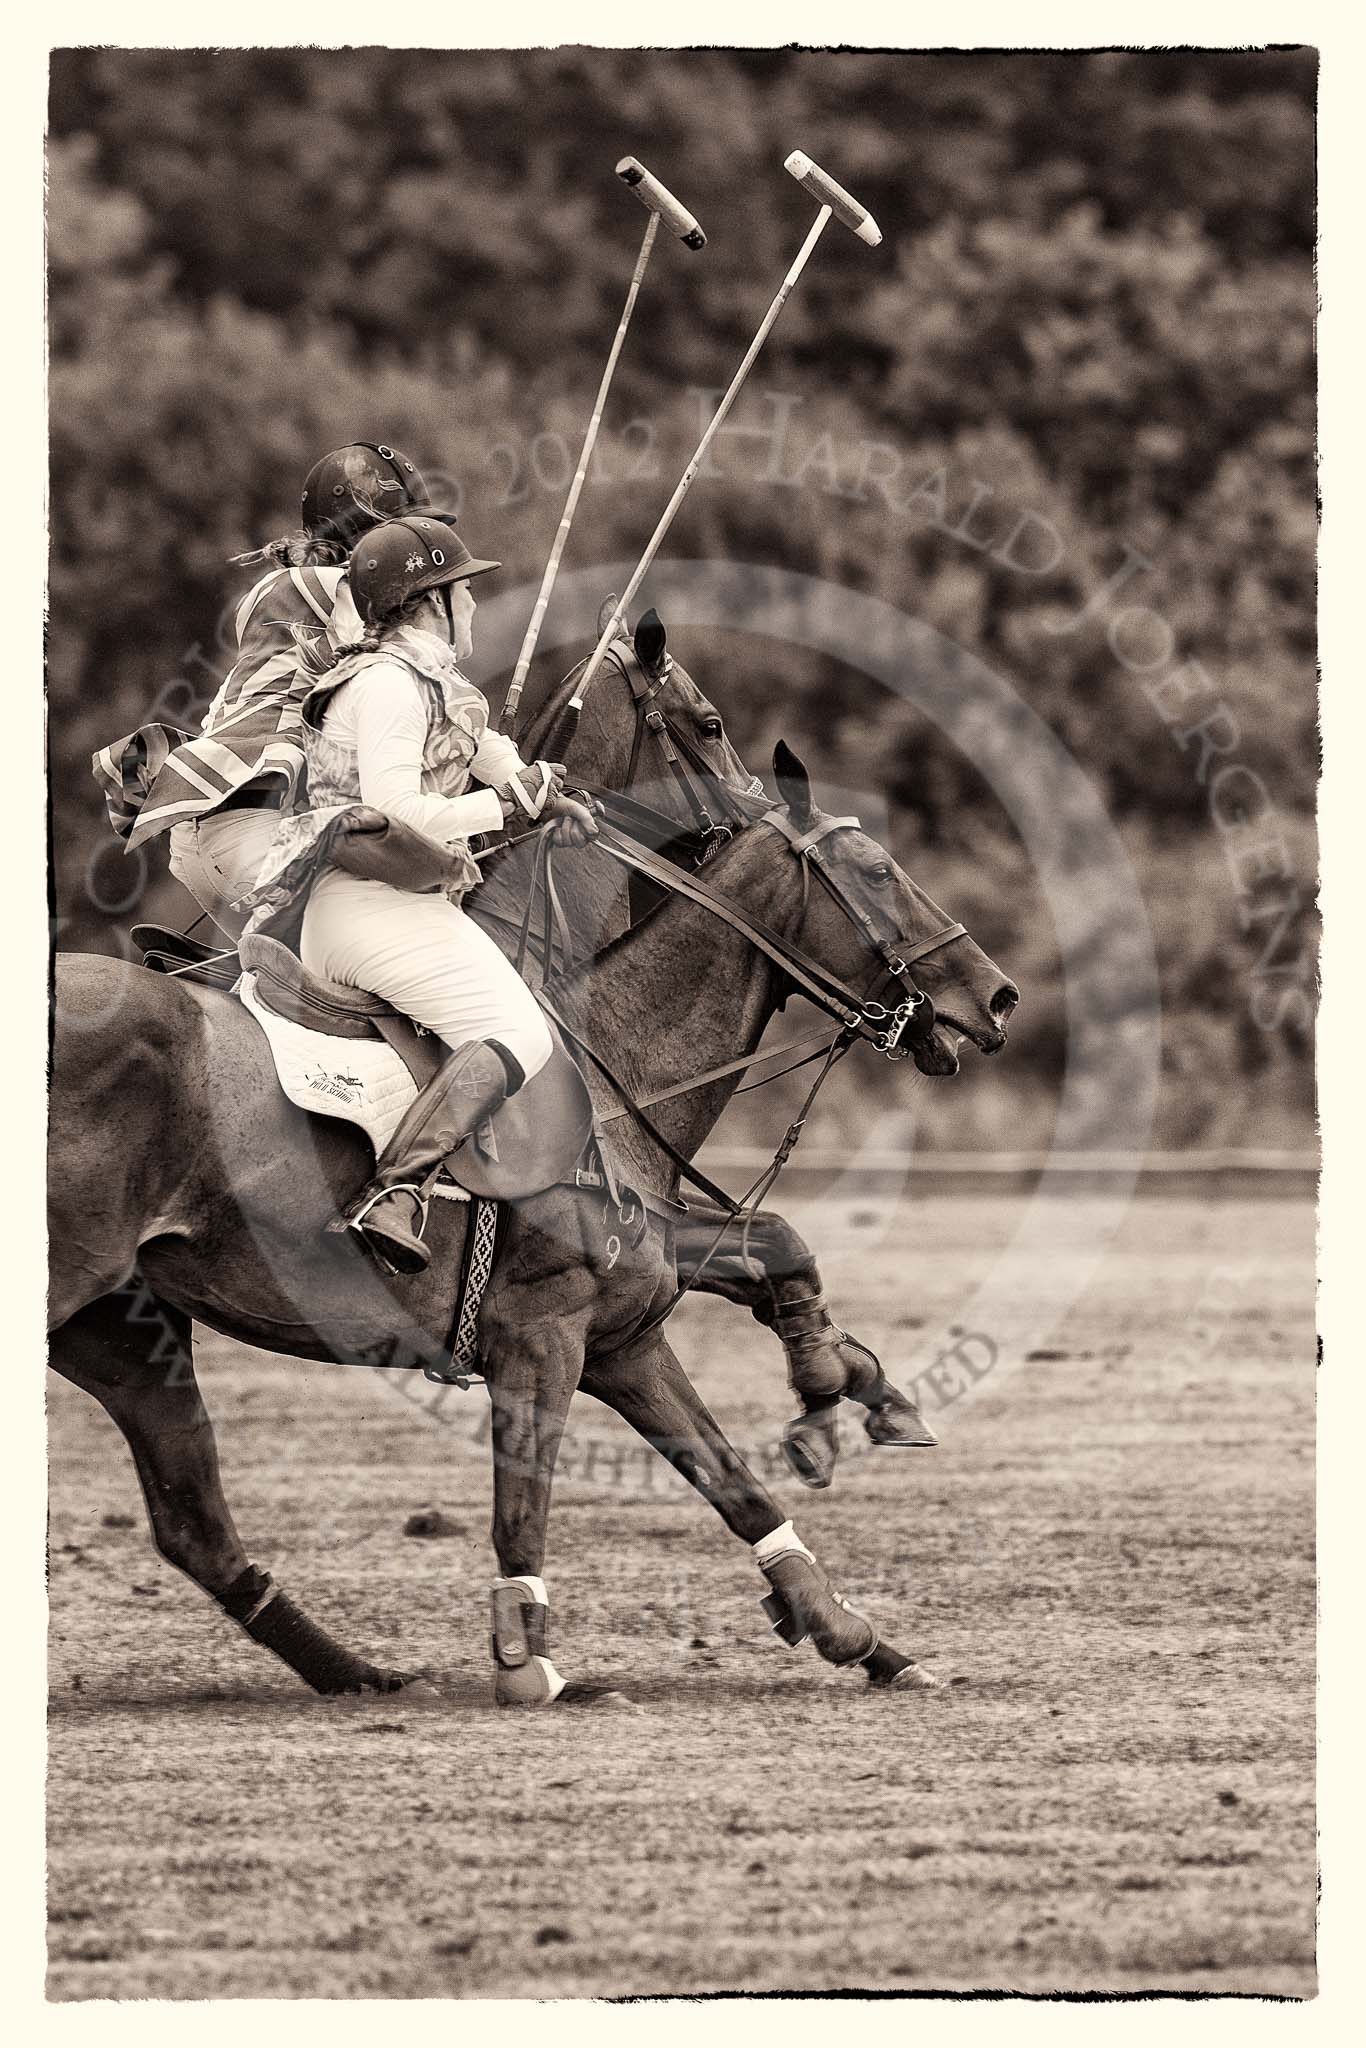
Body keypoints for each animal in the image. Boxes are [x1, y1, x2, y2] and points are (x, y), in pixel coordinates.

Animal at [48, 745, 1015, 1703]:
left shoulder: (625, 1332)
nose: (998, 998)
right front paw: (528, 1663)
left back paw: (361, 1675)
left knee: (194, 1526)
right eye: (879, 871)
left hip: (124, 1329)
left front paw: (852, 1614)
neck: (615, 1058)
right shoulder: (541, 1336)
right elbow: (525, 1504)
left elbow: (740, 1457)